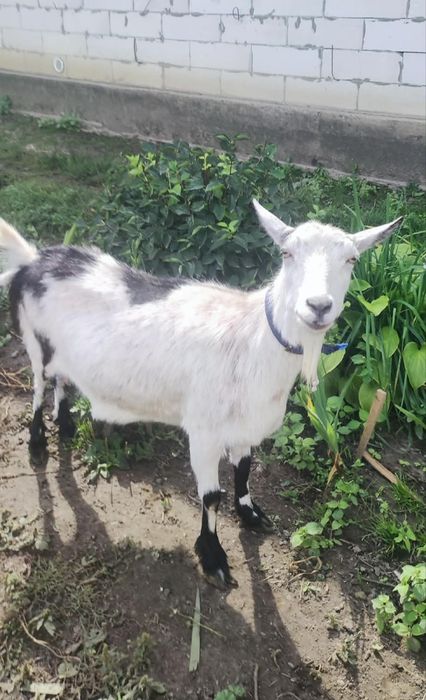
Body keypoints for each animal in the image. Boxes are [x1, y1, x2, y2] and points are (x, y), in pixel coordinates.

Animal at [0, 204, 401, 587]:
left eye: (352, 260)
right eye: (286, 253)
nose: (318, 306)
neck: (252, 341)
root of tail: (35, 260)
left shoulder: (244, 425)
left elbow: (244, 468)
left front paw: (250, 514)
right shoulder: (204, 432)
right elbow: (211, 497)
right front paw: (213, 558)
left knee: (61, 379)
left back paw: (64, 424)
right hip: (37, 340)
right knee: (38, 384)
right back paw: (38, 443)